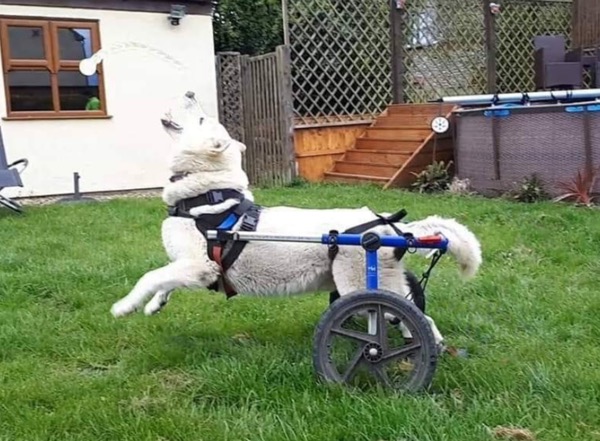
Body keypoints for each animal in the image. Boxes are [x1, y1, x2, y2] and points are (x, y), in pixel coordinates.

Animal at [110, 91, 480, 348]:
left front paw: (124, 307)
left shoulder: (200, 265)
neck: (208, 194)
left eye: (202, 120)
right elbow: (165, 280)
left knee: (416, 318)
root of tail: (387, 225)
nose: (189, 92)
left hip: (362, 285)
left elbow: (149, 277)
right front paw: (154, 305)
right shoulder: (191, 268)